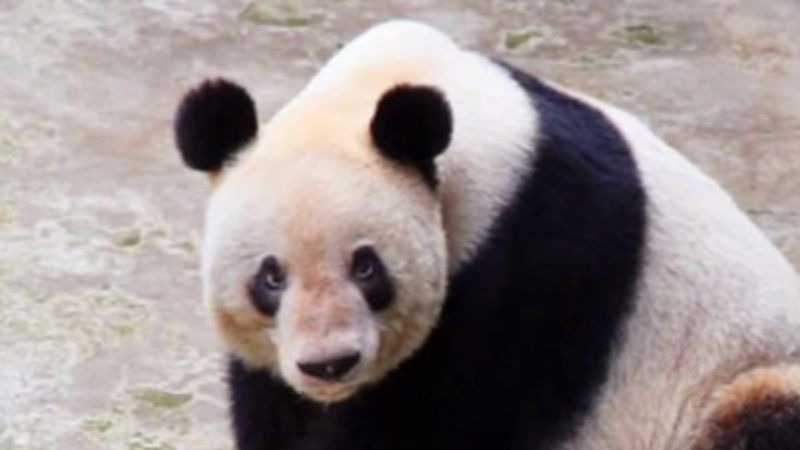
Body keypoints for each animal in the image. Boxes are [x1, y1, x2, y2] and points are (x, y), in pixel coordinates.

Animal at [173, 21, 800, 450]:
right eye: (270, 277)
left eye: (367, 267)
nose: (330, 364)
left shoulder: (530, 261)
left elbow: (445, 417)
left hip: (734, 378)